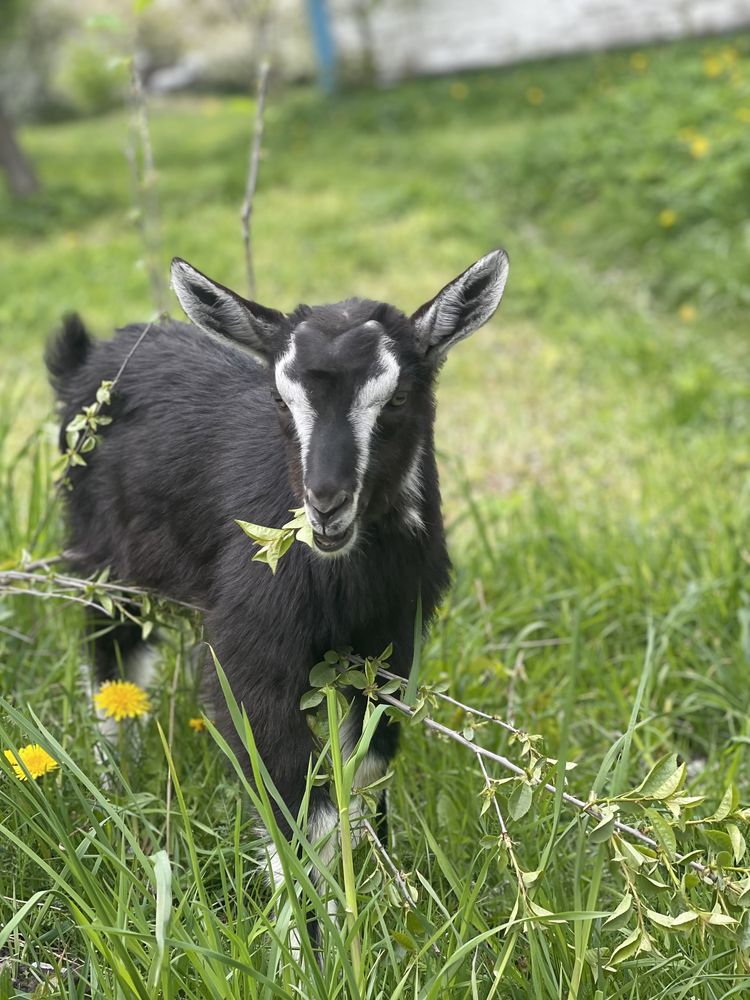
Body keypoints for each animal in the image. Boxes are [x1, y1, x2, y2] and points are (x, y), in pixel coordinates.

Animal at [47, 250, 512, 928]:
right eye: (278, 395)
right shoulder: (251, 650)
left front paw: (388, 899)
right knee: (111, 656)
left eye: (398, 395)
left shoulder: (388, 649)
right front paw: (315, 939)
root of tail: (86, 359)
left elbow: (366, 768)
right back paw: (112, 786)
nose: (326, 503)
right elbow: (297, 803)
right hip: (103, 557)